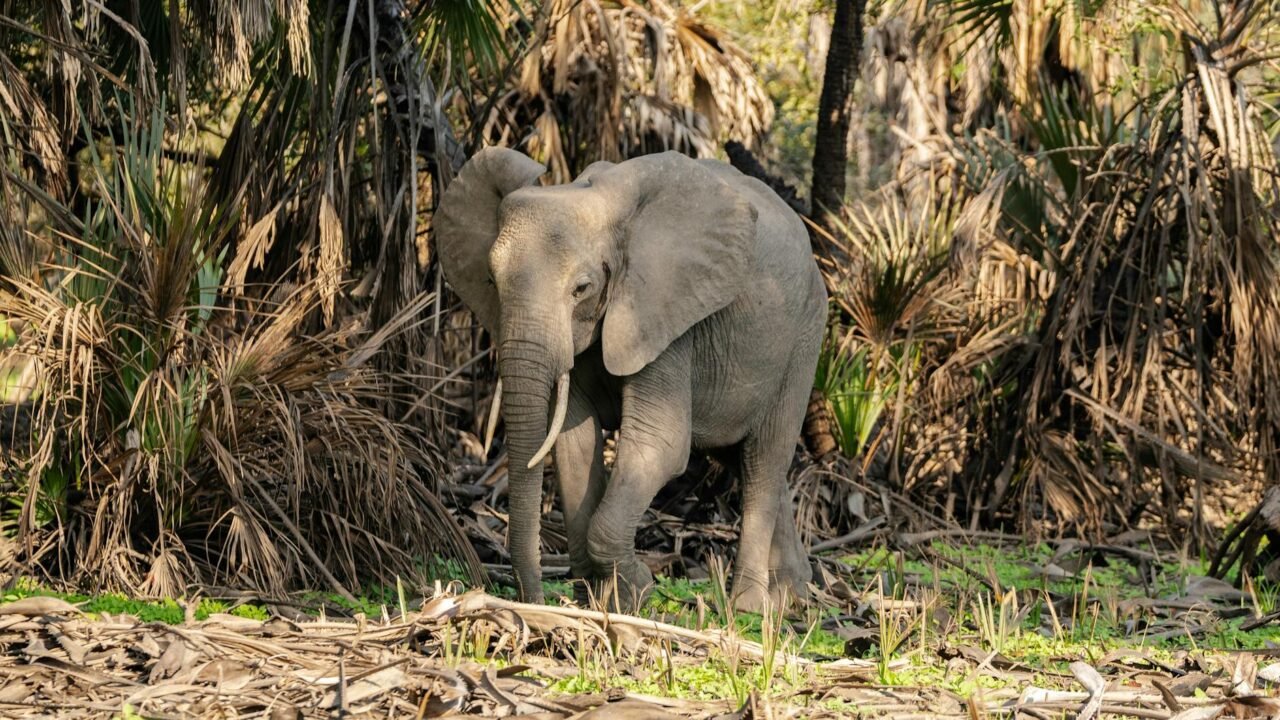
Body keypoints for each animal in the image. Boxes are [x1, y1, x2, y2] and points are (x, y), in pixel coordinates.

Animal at [435, 147, 828, 613]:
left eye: (582, 288)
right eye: (492, 281)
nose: (535, 600)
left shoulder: (664, 315)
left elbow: (662, 444)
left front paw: (635, 591)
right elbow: (574, 443)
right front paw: (598, 598)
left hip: (805, 335)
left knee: (764, 458)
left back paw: (750, 607)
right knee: (744, 458)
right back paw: (794, 594)